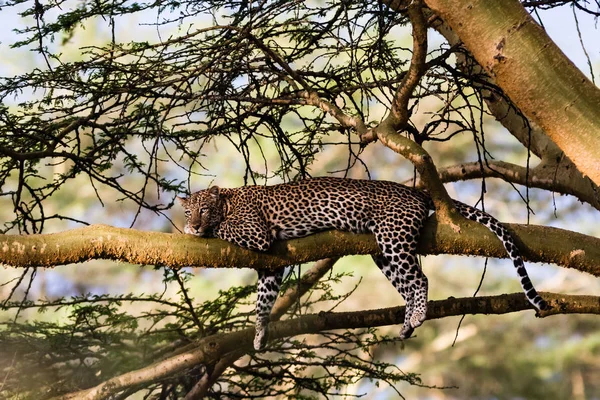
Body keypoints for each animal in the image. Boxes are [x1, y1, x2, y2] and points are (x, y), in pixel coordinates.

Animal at [177, 177, 548, 350]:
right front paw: (259, 335)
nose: (192, 224)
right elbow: (263, 301)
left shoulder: (257, 234)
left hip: (393, 237)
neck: (229, 198)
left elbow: (225, 229)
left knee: (420, 280)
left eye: (204, 210)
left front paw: (201, 231)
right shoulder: (270, 264)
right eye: (188, 210)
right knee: (410, 284)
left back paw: (417, 316)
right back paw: (407, 324)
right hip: (384, 252)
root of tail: (416, 191)